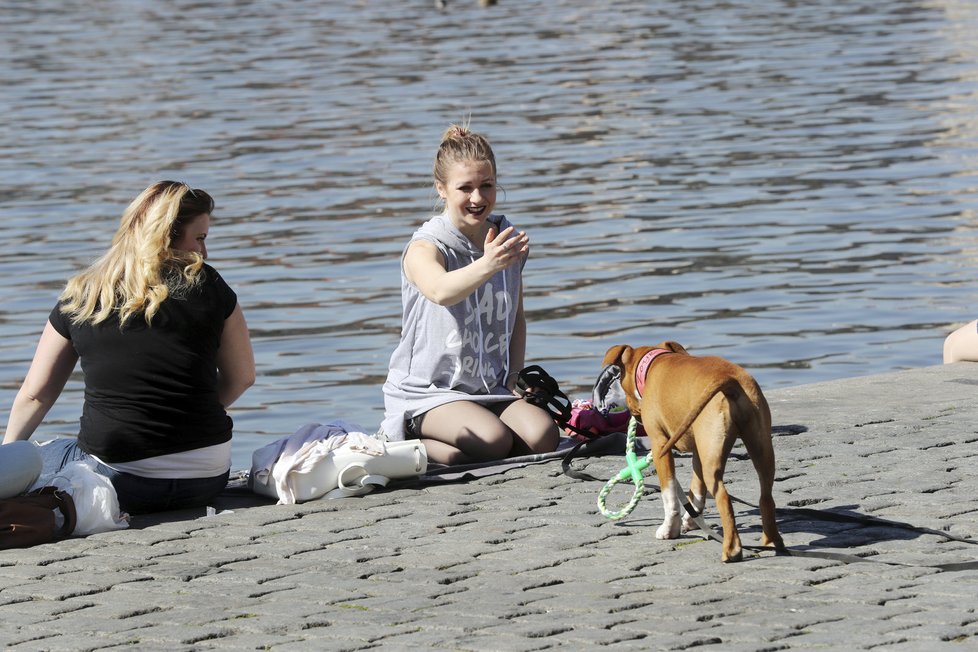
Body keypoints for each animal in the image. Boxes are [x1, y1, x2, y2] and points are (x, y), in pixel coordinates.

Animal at [600, 342, 780, 560]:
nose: (634, 416)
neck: (652, 364)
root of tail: (730, 382)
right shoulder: (698, 452)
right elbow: (696, 490)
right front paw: (692, 520)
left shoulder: (660, 446)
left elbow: (669, 495)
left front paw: (670, 530)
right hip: (758, 449)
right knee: (766, 498)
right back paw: (772, 542)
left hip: (713, 460)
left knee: (724, 498)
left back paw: (732, 550)